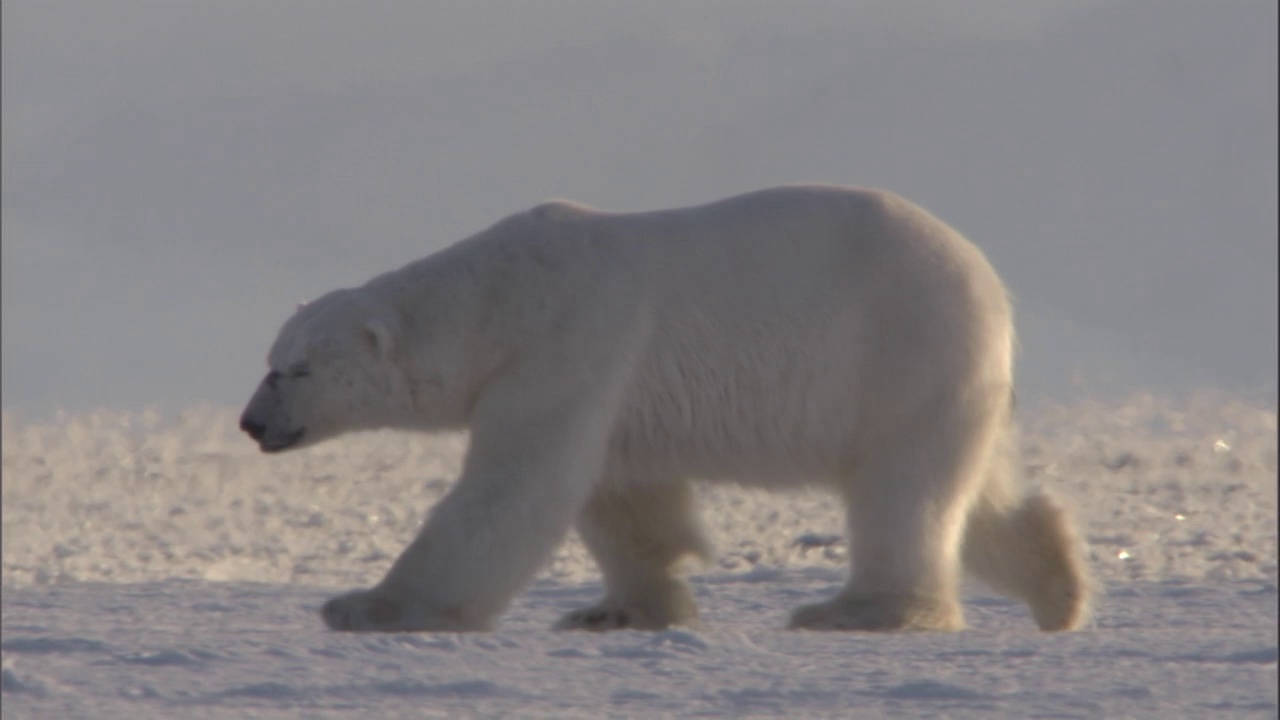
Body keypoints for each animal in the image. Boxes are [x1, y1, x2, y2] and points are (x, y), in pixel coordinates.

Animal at [240, 185, 1090, 632]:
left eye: (295, 370)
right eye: (270, 360)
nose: (251, 424)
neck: (495, 302)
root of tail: (987, 278)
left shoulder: (572, 336)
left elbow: (513, 489)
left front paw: (370, 605)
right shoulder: (604, 381)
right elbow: (622, 497)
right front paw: (627, 608)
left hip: (898, 346)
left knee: (902, 489)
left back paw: (859, 608)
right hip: (949, 376)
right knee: (973, 488)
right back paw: (1060, 586)